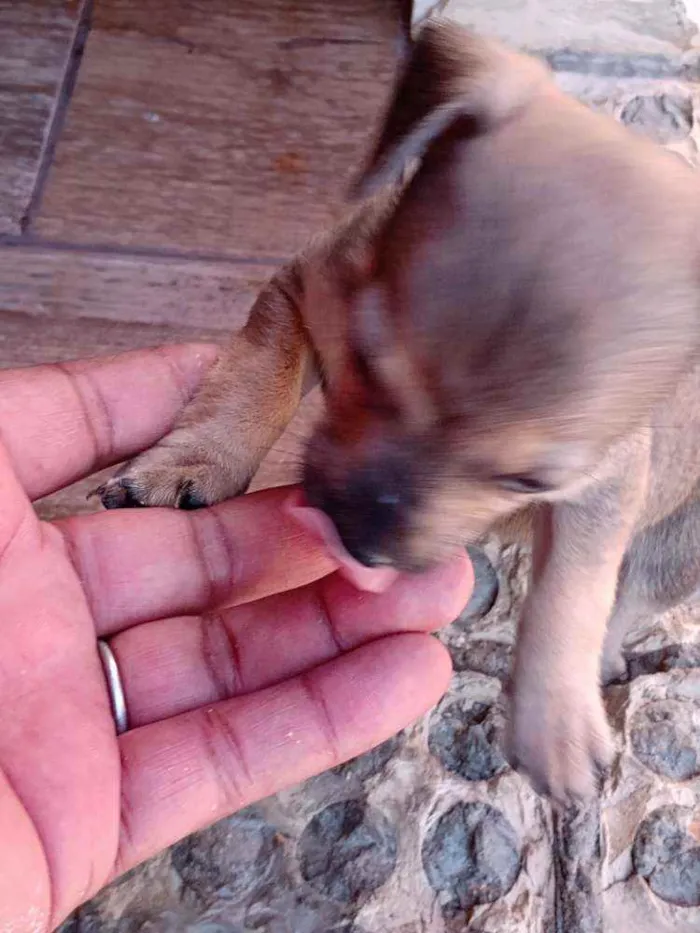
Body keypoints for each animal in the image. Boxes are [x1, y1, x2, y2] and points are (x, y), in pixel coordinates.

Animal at [98, 23, 700, 808]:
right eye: (364, 357)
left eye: (530, 481)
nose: (355, 535)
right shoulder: (303, 286)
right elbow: (257, 379)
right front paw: (195, 458)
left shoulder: (605, 482)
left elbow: (572, 588)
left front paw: (556, 723)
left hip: (680, 546)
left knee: (628, 596)